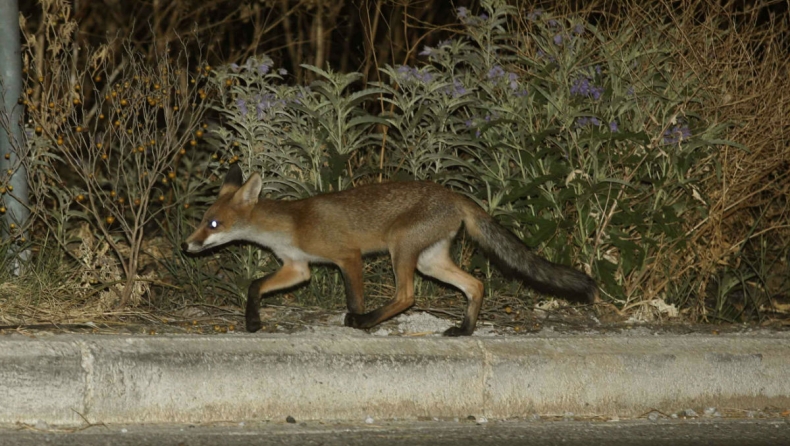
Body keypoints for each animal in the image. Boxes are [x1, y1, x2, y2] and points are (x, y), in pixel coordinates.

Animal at [183, 163, 596, 334]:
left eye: (213, 224)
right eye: (203, 220)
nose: (187, 245)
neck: (292, 227)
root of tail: (454, 195)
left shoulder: (347, 257)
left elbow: (354, 299)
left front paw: (355, 320)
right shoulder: (298, 268)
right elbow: (255, 287)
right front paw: (253, 322)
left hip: (401, 250)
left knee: (406, 296)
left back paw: (368, 323)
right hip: (430, 261)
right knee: (476, 285)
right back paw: (464, 331)